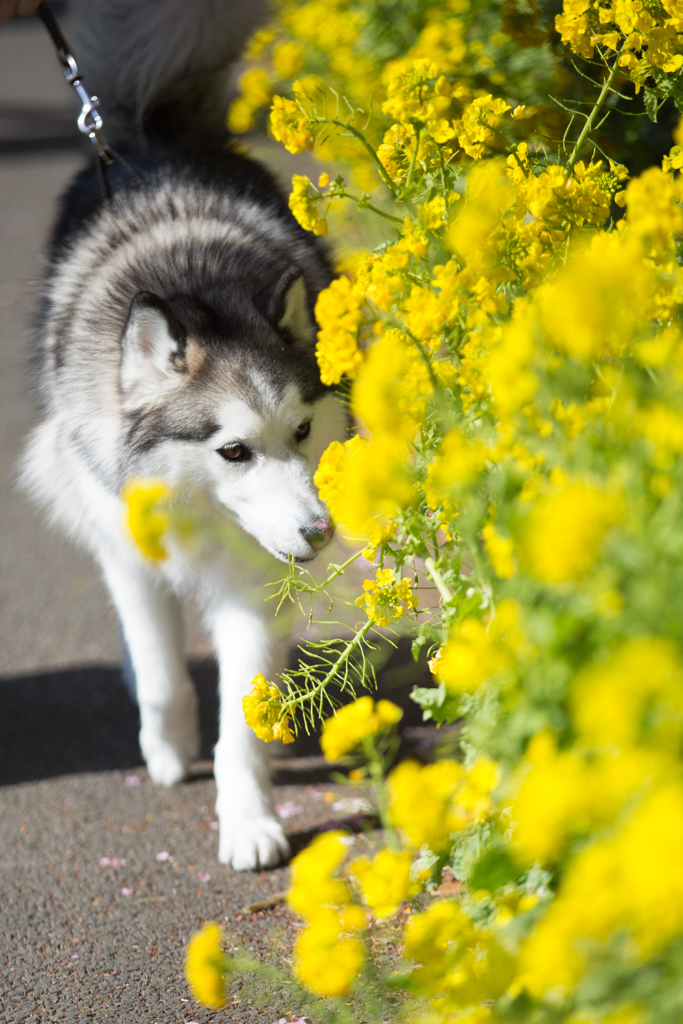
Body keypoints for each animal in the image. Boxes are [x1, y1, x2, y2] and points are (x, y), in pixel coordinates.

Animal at [20, 0, 348, 868]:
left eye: (303, 429)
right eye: (232, 451)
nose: (319, 532)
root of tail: (152, 136)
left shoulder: (252, 581)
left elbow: (244, 718)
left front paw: (250, 821)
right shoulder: (129, 545)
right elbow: (166, 672)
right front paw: (166, 750)